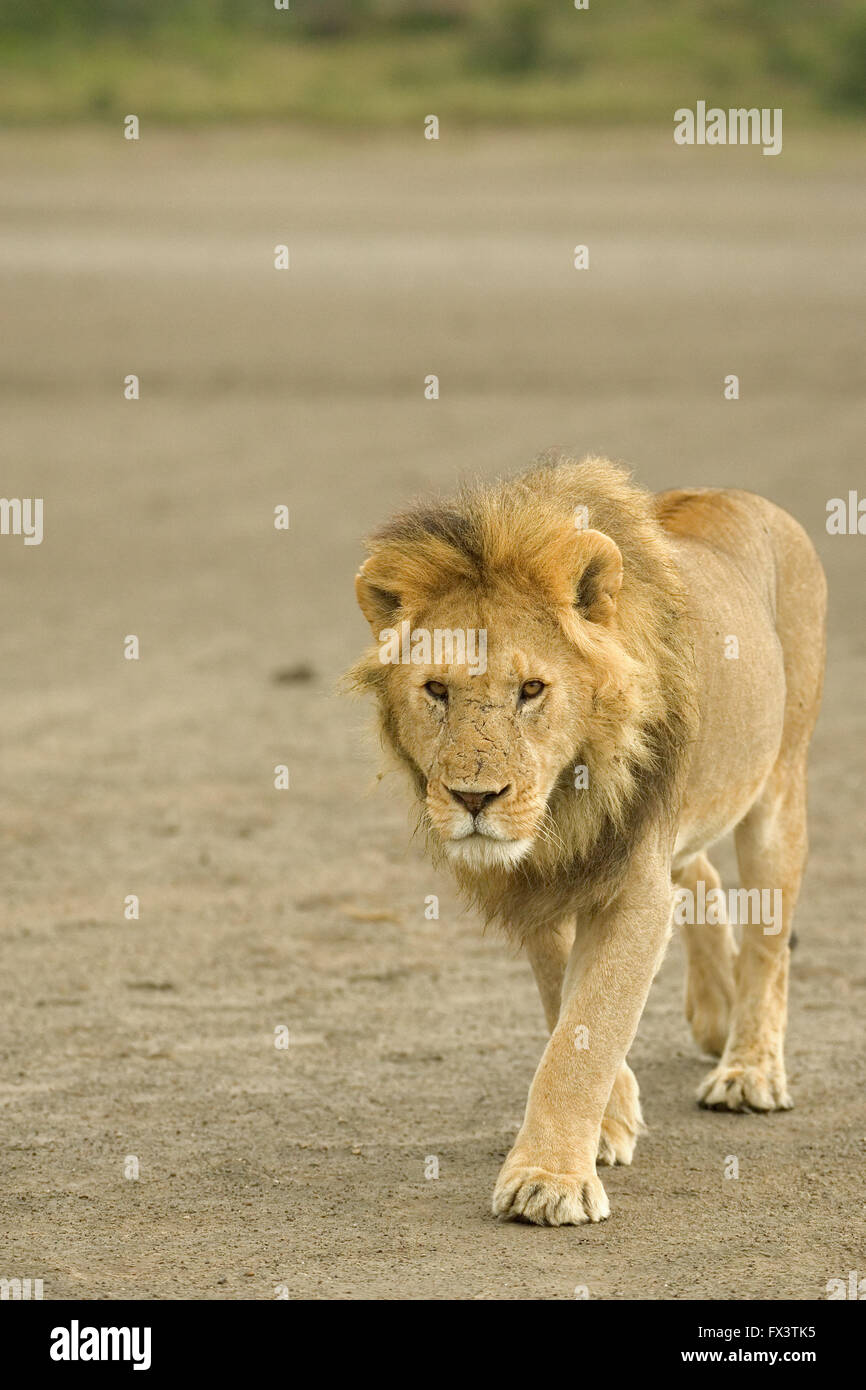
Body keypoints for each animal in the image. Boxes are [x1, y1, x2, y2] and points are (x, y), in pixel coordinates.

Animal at [347, 450, 828, 1223]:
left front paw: (548, 1180)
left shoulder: (631, 884)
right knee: (699, 875)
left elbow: (589, 1028)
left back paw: (749, 1069)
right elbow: (564, 1003)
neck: (560, 807)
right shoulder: (539, 883)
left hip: (779, 785)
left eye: (532, 690)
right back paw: (715, 1014)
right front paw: (610, 1122)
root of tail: (737, 494)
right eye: (437, 691)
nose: (474, 798)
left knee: (768, 939)